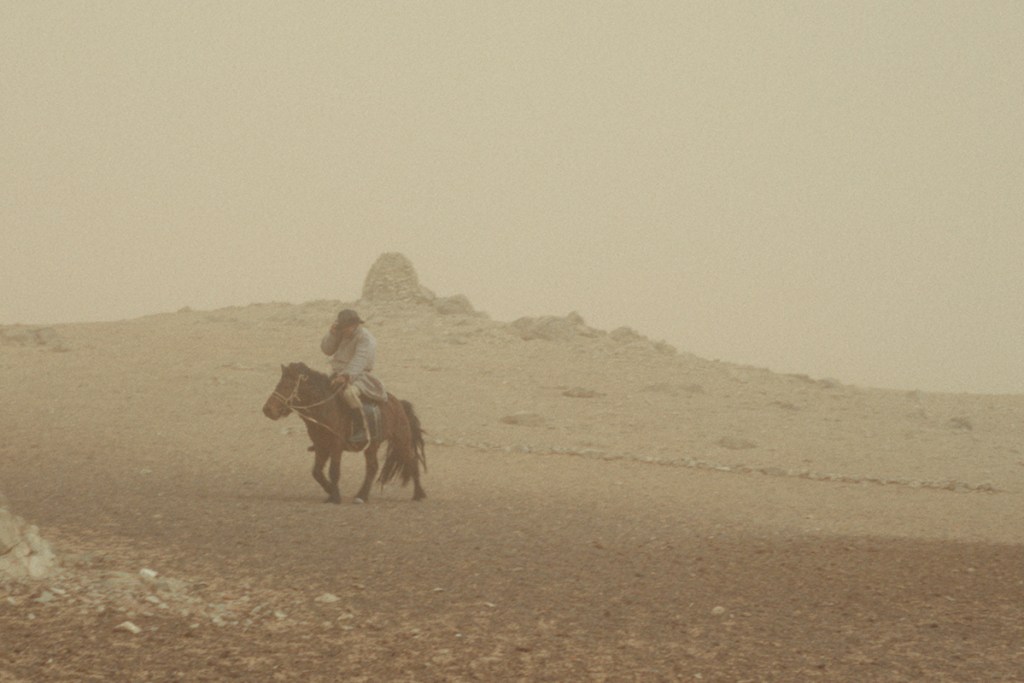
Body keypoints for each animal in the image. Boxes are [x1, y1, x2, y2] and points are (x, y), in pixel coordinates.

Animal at [262, 362, 426, 504]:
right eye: (278, 384)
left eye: (287, 385)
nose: (267, 410)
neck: (325, 408)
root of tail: (399, 404)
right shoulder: (321, 447)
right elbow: (317, 472)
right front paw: (330, 491)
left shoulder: (336, 446)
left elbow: (334, 471)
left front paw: (335, 497)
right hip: (372, 445)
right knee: (372, 467)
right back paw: (361, 496)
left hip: (401, 440)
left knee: (412, 460)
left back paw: (418, 494)